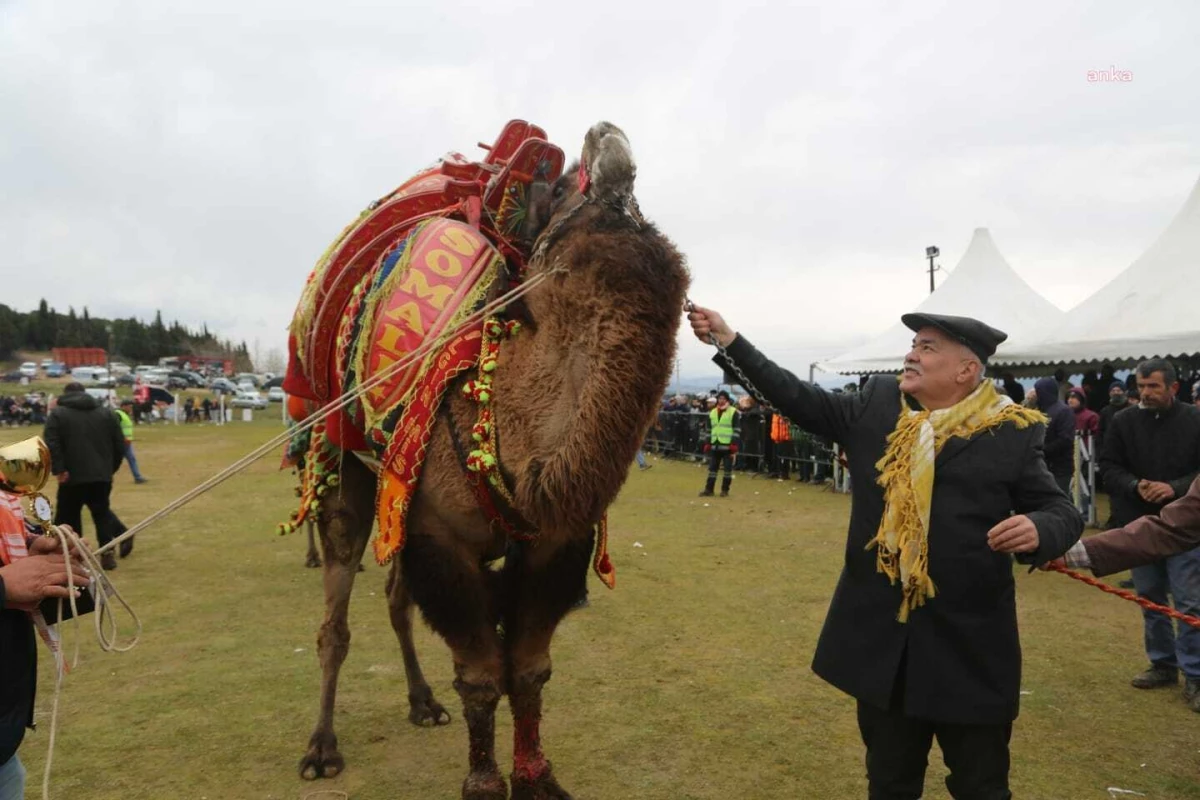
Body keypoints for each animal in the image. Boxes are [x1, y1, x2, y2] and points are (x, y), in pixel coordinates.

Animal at [295, 122, 691, 796]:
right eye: (559, 188)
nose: (607, 136)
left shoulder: (555, 541)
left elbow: (528, 668)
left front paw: (537, 777)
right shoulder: (439, 534)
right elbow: (482, 675)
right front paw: (483, 782)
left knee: (396, 602)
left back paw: (423, 702)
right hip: (338, 451)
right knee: (337, 613)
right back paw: (322, 747)